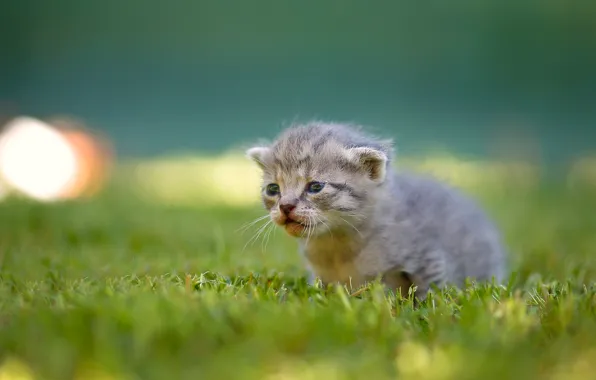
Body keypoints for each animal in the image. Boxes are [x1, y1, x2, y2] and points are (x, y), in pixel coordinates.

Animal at [244, 121, 506, 300]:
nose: (285, 206)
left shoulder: (430, 259)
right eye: (273, 189)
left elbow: (429, 295)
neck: (336, 249)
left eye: (315, 186)